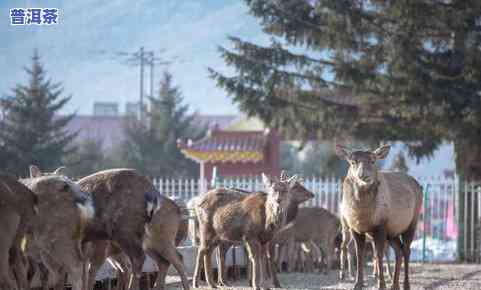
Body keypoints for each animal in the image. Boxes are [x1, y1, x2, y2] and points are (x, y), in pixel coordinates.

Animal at [336, 145, 422, 290]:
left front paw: (381, 284)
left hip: (412, 222)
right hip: (392, 231)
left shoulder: (380, 226)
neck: (362, 215)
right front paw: (358, 284)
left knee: (406, 250)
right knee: (398, 250)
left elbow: (378, 254)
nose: (363, 175)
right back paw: (394, 284)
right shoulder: (355, 229)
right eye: (353, 162)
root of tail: (418, 185)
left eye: (373, 160)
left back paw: (405, 284)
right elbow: (359, 254)